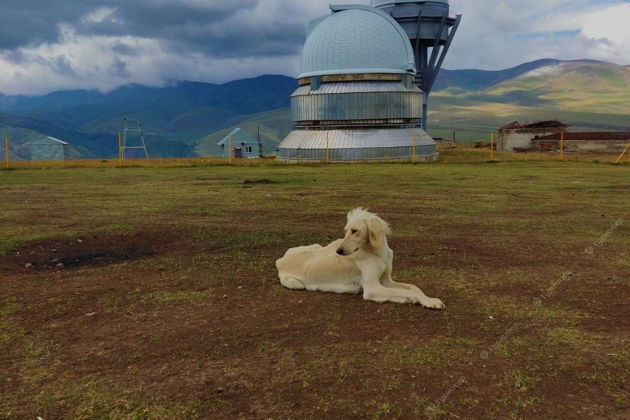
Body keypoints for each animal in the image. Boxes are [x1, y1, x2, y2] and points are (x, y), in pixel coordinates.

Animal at [278, 208, 450, 310]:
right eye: (346, 231)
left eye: (355, 231)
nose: (339, 251)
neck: (378, 252)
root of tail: (279, 261)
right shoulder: (372, 288)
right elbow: (407, 292)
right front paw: (427, 301)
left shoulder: (386, 280)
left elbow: (414, 287)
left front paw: (423, 298)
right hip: (296, 284)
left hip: (315, 245)